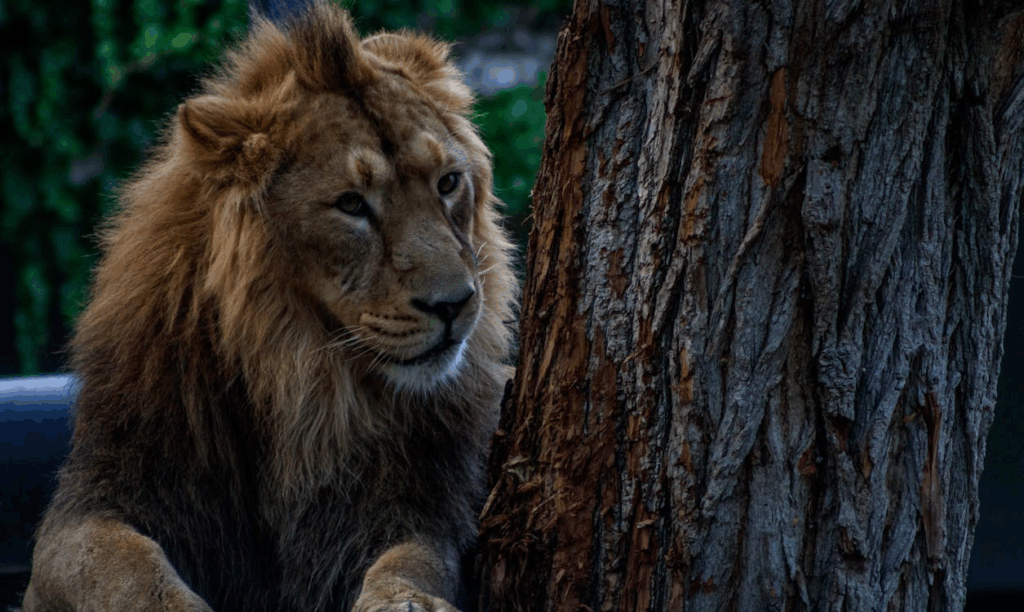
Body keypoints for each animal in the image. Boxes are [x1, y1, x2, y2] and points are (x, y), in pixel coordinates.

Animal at [20, 3, 517, 611]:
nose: (455, 304)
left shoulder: (420, 509)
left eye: (448, 183)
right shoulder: (99, 498)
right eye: (351, 204)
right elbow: (122, 567)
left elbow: (413, 561)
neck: (301, 378)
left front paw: (404, 602)